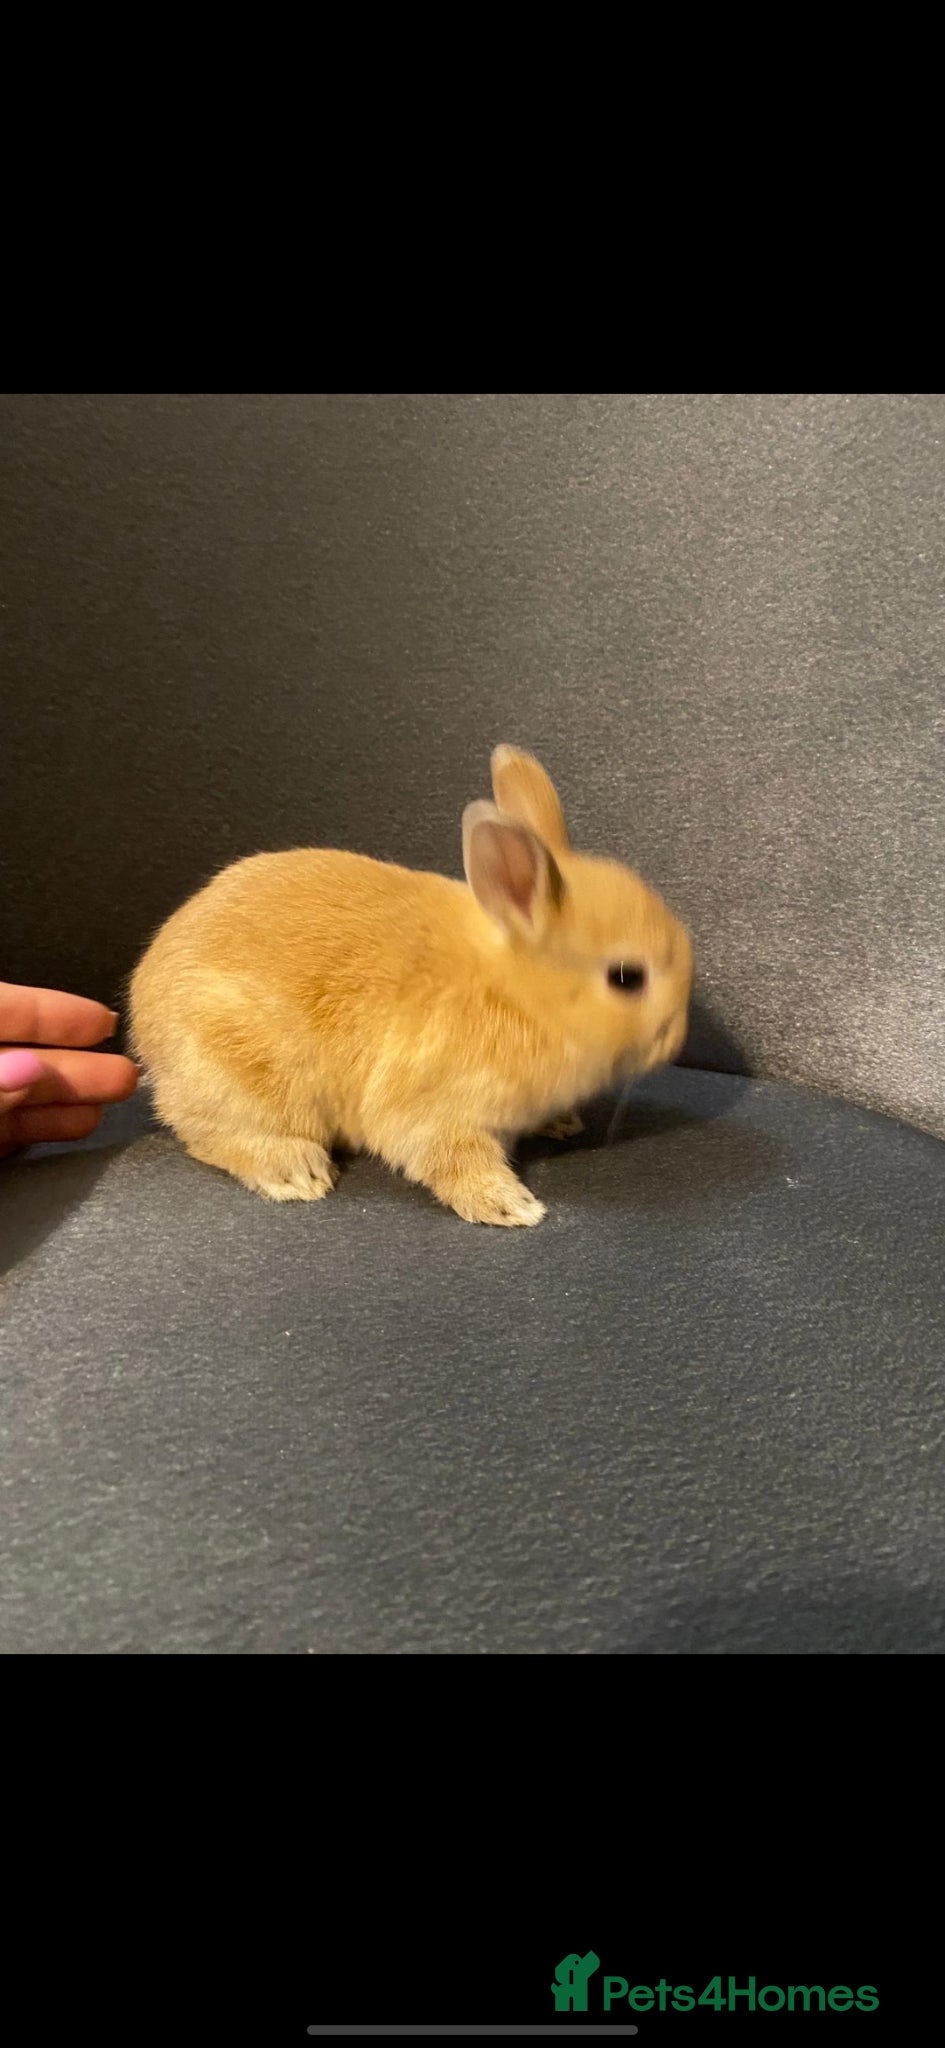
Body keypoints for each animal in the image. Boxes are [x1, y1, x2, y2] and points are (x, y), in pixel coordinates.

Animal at [129, 746, 694, 1226]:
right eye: (627, 978)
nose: (676, 1040)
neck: (515, 994)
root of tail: (144, 1022)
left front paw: (562, 1124)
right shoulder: (435, 1110)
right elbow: (456, 1161)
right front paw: (511, 1206)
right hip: (241, 1073)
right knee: (210, 1134)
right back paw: (296, 1171)